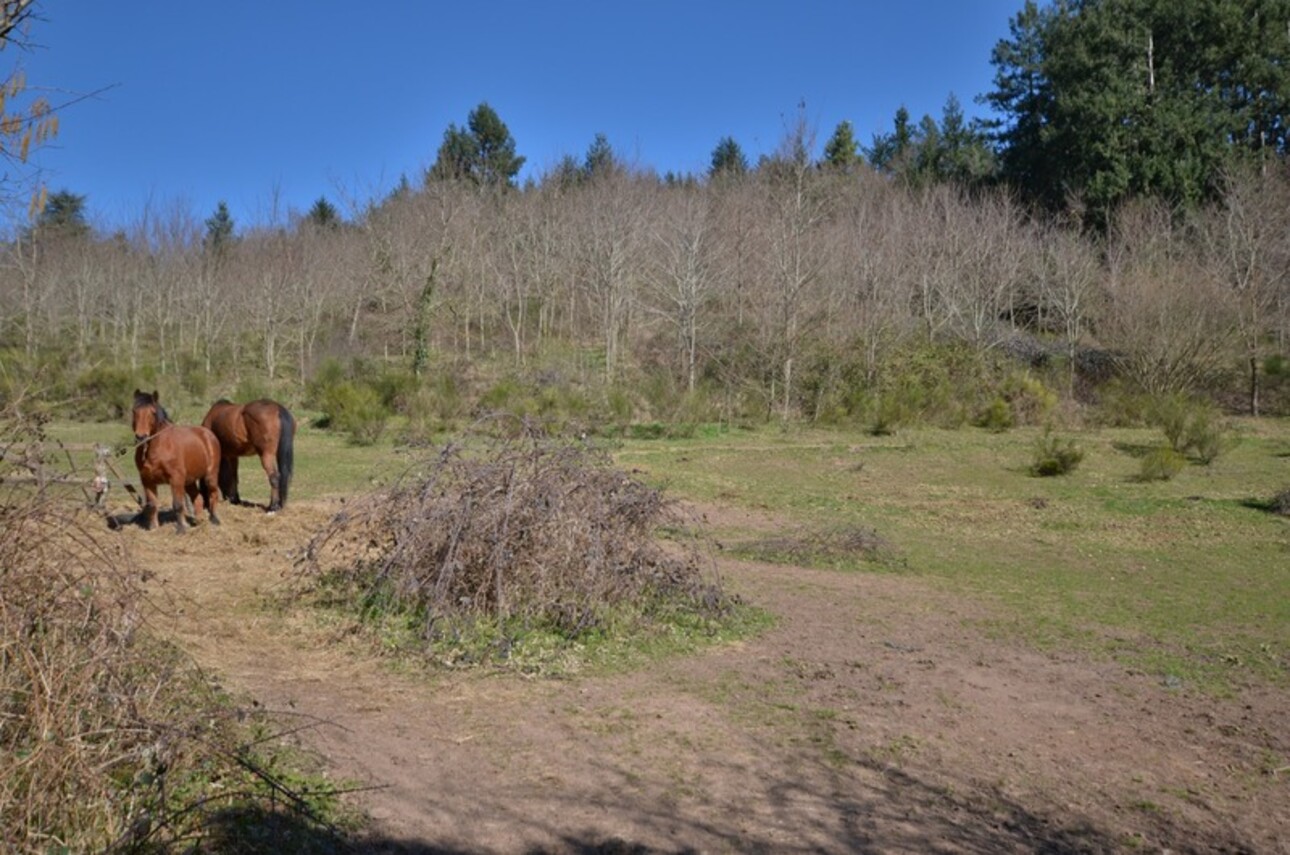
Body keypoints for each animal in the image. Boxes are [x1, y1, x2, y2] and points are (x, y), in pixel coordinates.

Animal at [131, 389, 221, 536]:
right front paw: (153, 527)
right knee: (197, 498)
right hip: (189, 480)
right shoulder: (147, 481)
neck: (158, 447)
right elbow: (152, 504)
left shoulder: (176, 479)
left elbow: (178, 505)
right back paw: (199, 521)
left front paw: (181, 529)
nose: (141, 436)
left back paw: (214, 519)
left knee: (213, 494)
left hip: (210, 476)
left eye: (153, 412)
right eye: (134, 411)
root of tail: (208, 434)